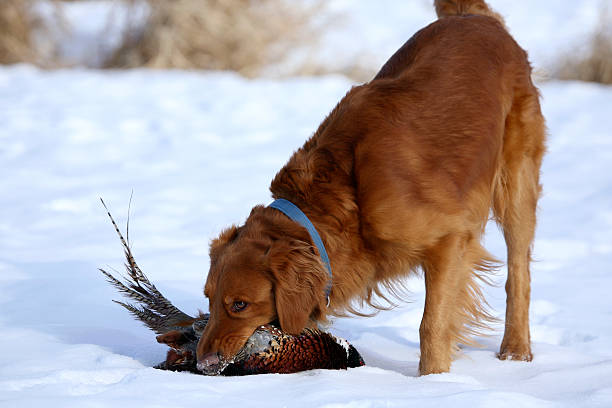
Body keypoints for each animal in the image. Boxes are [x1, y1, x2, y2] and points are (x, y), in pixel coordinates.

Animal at [196, 0, 544, 376]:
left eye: (240, 304)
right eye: (208, 299)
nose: (202, 363)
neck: (345, 200)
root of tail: (474, 16)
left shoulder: (449, 237)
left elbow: (432, 325)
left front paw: (434, 380)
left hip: (516, 181)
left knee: (518, 271)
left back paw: (516, 349)